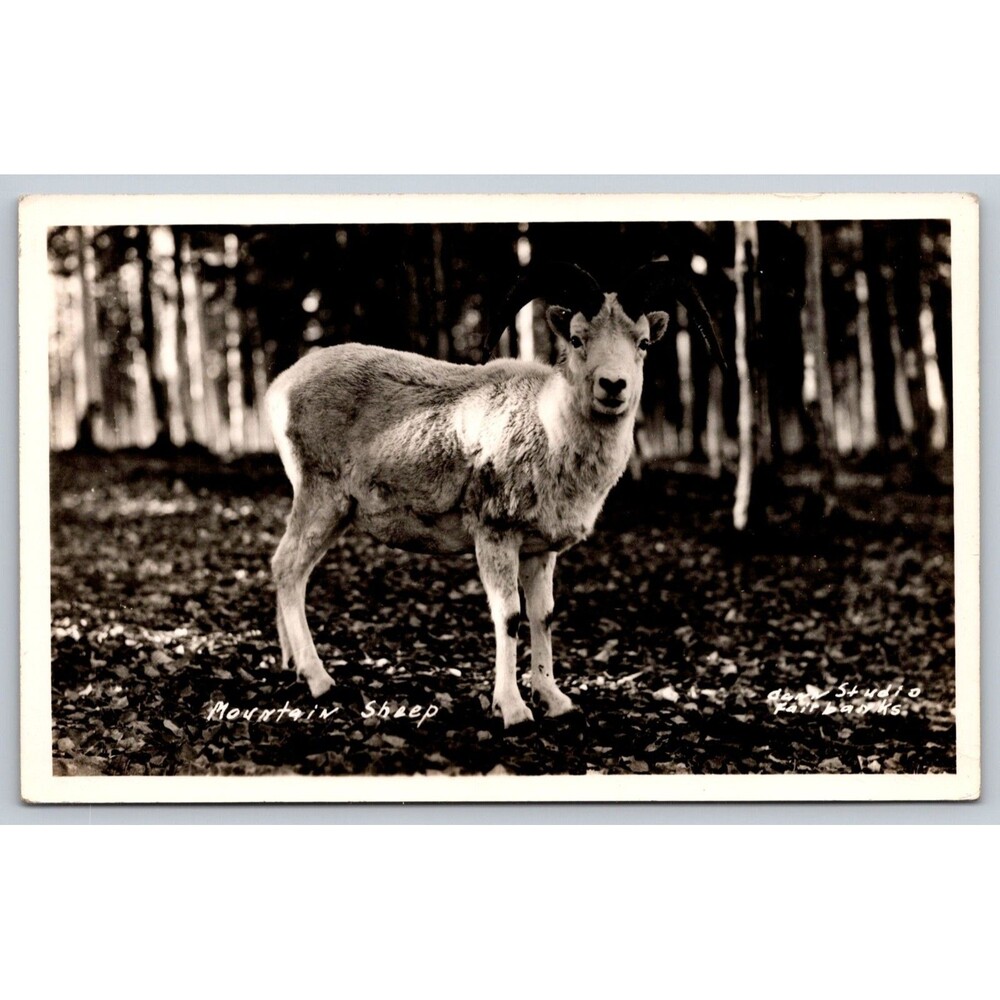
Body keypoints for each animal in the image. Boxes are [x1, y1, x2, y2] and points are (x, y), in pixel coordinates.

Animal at [266, 261, 724, 728]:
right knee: (287, 568)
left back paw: (293, 667)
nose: (612, 385)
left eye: (643, 342)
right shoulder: (496, 536)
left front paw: (555, 701)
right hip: (320, 497)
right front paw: (514, 710)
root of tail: (280, 388)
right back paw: (319, 680)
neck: (549, 432)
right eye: (578, 338)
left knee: (292, 572)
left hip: (335, 513)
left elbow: (542, 616)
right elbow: (508, 616)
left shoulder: (539, 550)